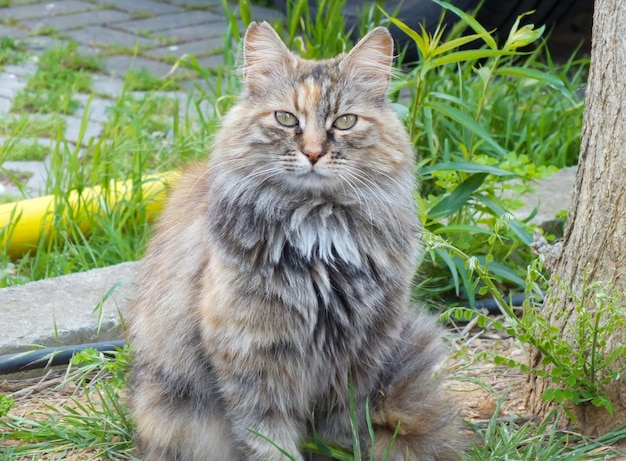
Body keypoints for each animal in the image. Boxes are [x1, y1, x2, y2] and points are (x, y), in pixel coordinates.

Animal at [127, 20, 460, 460]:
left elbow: (341, 433)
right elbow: (269, 439)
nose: (314, 153)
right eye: (286, 119)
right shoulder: (252, 355)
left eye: (345, 122)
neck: (320, 231)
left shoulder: (361, 355)